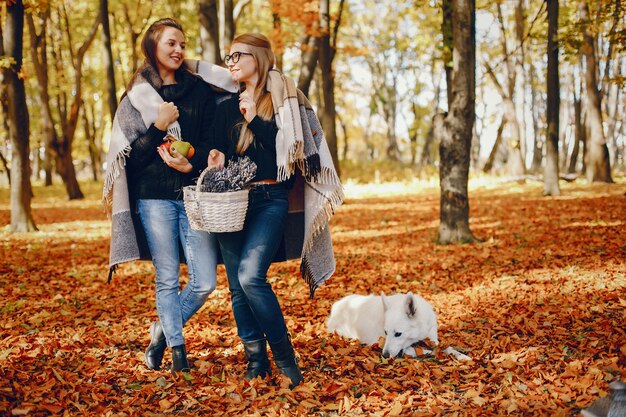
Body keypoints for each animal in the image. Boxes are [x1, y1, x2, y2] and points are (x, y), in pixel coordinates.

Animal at [326, 290, 468, 360]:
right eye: (386, 333)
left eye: (398, 334)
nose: (384, 356)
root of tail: (336, 305)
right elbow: (426, 351)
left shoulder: (433, 339)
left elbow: (446, 347)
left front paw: (461, 355)